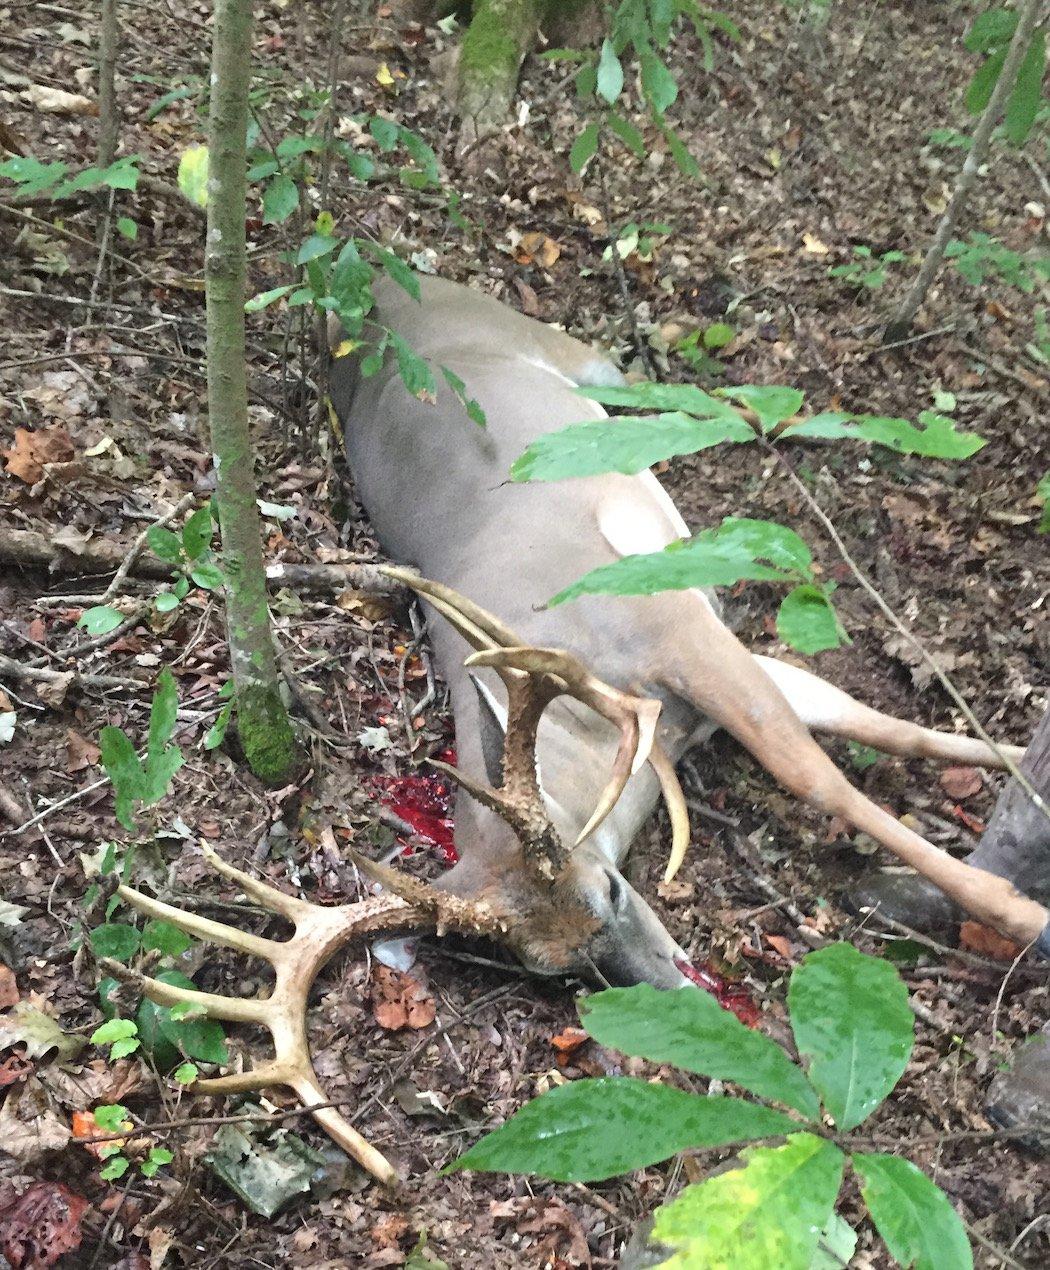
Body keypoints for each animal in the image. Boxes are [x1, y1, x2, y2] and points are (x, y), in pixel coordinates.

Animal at [105, 273, 1048, 1188]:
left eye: (614, 891)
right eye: (560, 973)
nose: (688, 1002)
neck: (597, 736)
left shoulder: (675, 624)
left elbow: (825, 766)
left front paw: (1019, 904)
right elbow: (872, 736)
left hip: (561, 349)